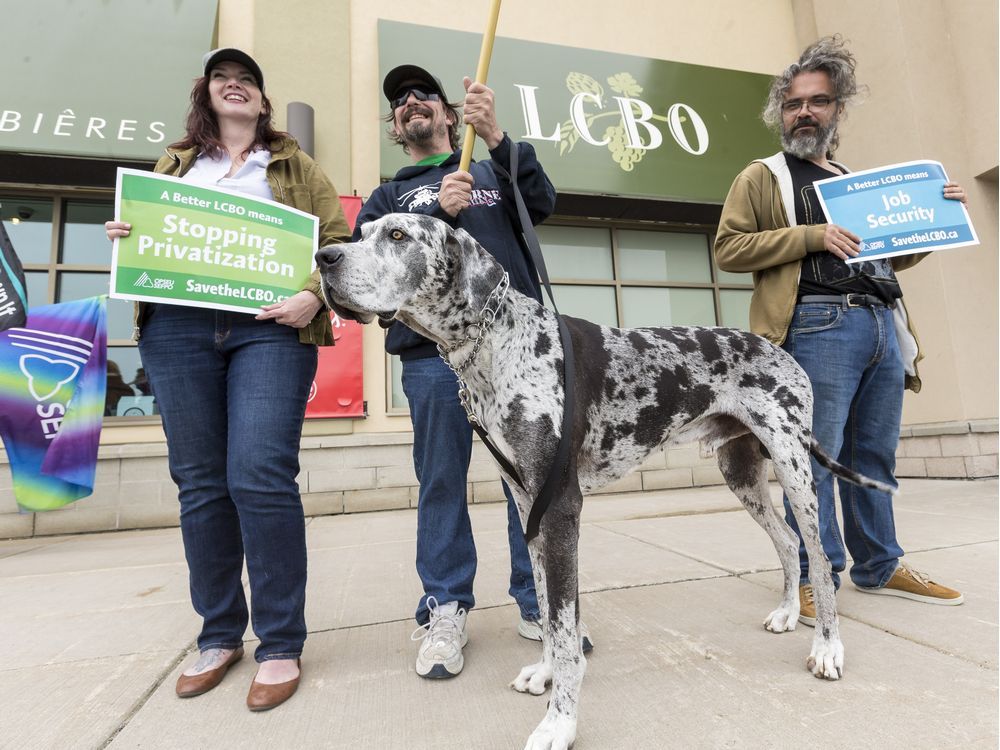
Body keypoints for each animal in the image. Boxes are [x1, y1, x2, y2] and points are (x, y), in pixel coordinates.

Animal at [314, 213, 892, 750]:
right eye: (363, 231)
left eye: (398, 236)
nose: (324, 257)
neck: (497, 345)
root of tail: (778, 347)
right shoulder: (528, 506)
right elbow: (550, 611)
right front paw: (547, 673)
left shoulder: (561, 507)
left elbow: (566, 624)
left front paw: (560, 721)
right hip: (741, 472)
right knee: (788, 540)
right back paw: (787, 613)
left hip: (794, 465)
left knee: (819, 556)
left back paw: (826, 647)